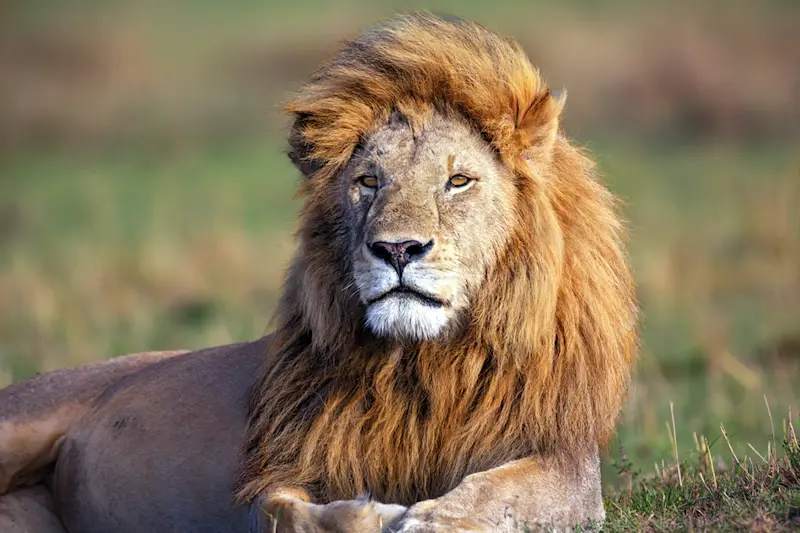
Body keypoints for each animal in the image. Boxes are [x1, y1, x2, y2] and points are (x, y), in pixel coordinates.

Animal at [0, 13, 637, 533]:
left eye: (458, 181)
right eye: (368, 181)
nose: (397, 249)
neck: (422, 364)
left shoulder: (565, 461)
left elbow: (495, 493)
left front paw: (429, 518)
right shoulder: (282, 463)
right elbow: (287, 510)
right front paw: (376, 514)